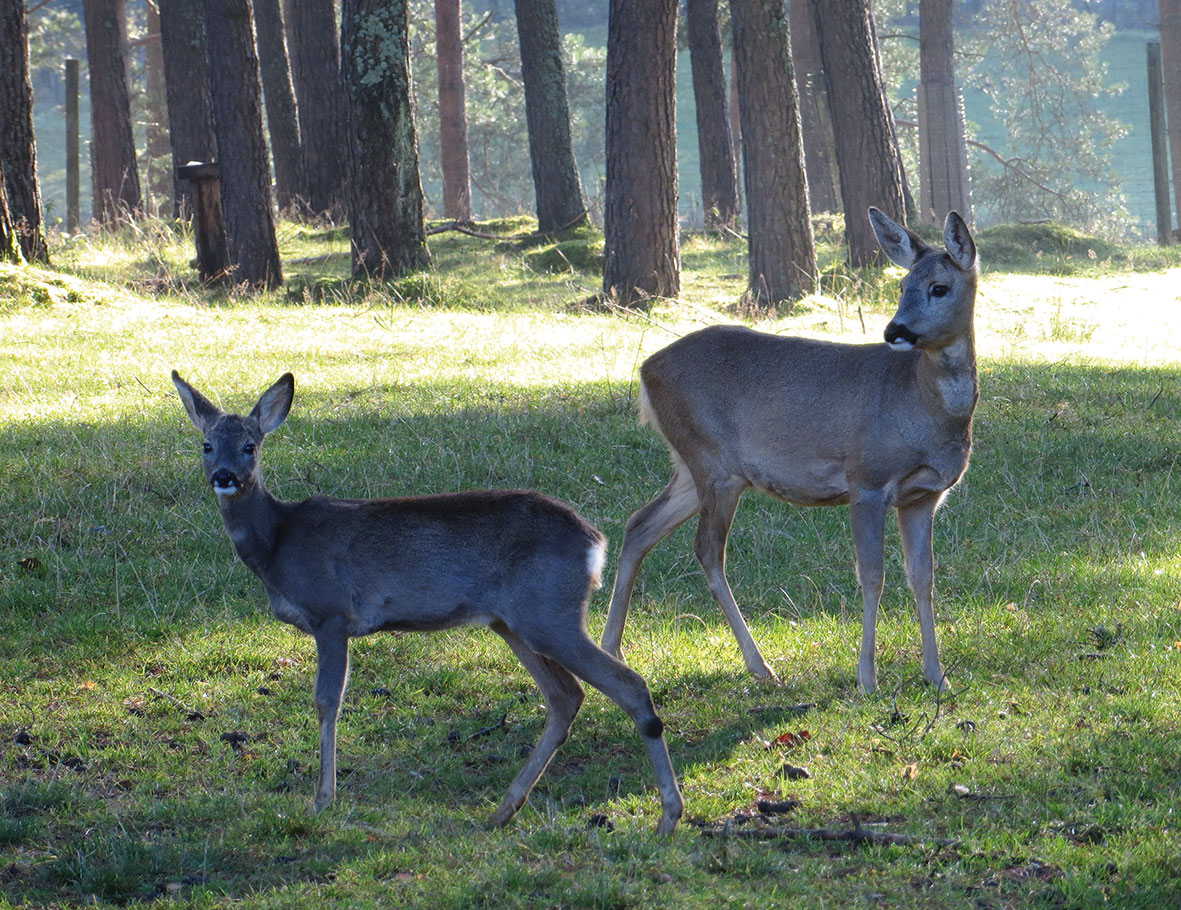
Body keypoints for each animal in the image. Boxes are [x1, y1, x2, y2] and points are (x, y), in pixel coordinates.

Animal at [168, 370, 684, 830]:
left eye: (251, 446)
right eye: (206, 445)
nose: (225, 476)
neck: (278, 545)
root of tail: (595, 541)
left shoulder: (331, 613)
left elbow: (327, 700)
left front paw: (322, 799)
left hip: (549, 613)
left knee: (628, 685)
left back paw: (668, 815)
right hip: (513, 621)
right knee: (565, 696)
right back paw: (503, 810)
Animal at [599, 207, 977, 689]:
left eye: (938, 287)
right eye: (902, 286)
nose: (895, 330)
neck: (922, 405)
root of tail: (646, 372)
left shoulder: (923, 496)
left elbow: (923, 577)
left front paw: (936, 675)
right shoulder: (866, 478)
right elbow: (872, 576)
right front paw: (867, 679)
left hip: (692, 466)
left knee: (639, 525)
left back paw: (612, 649)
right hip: (713, 461)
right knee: (707, 549)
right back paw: (760, 665)